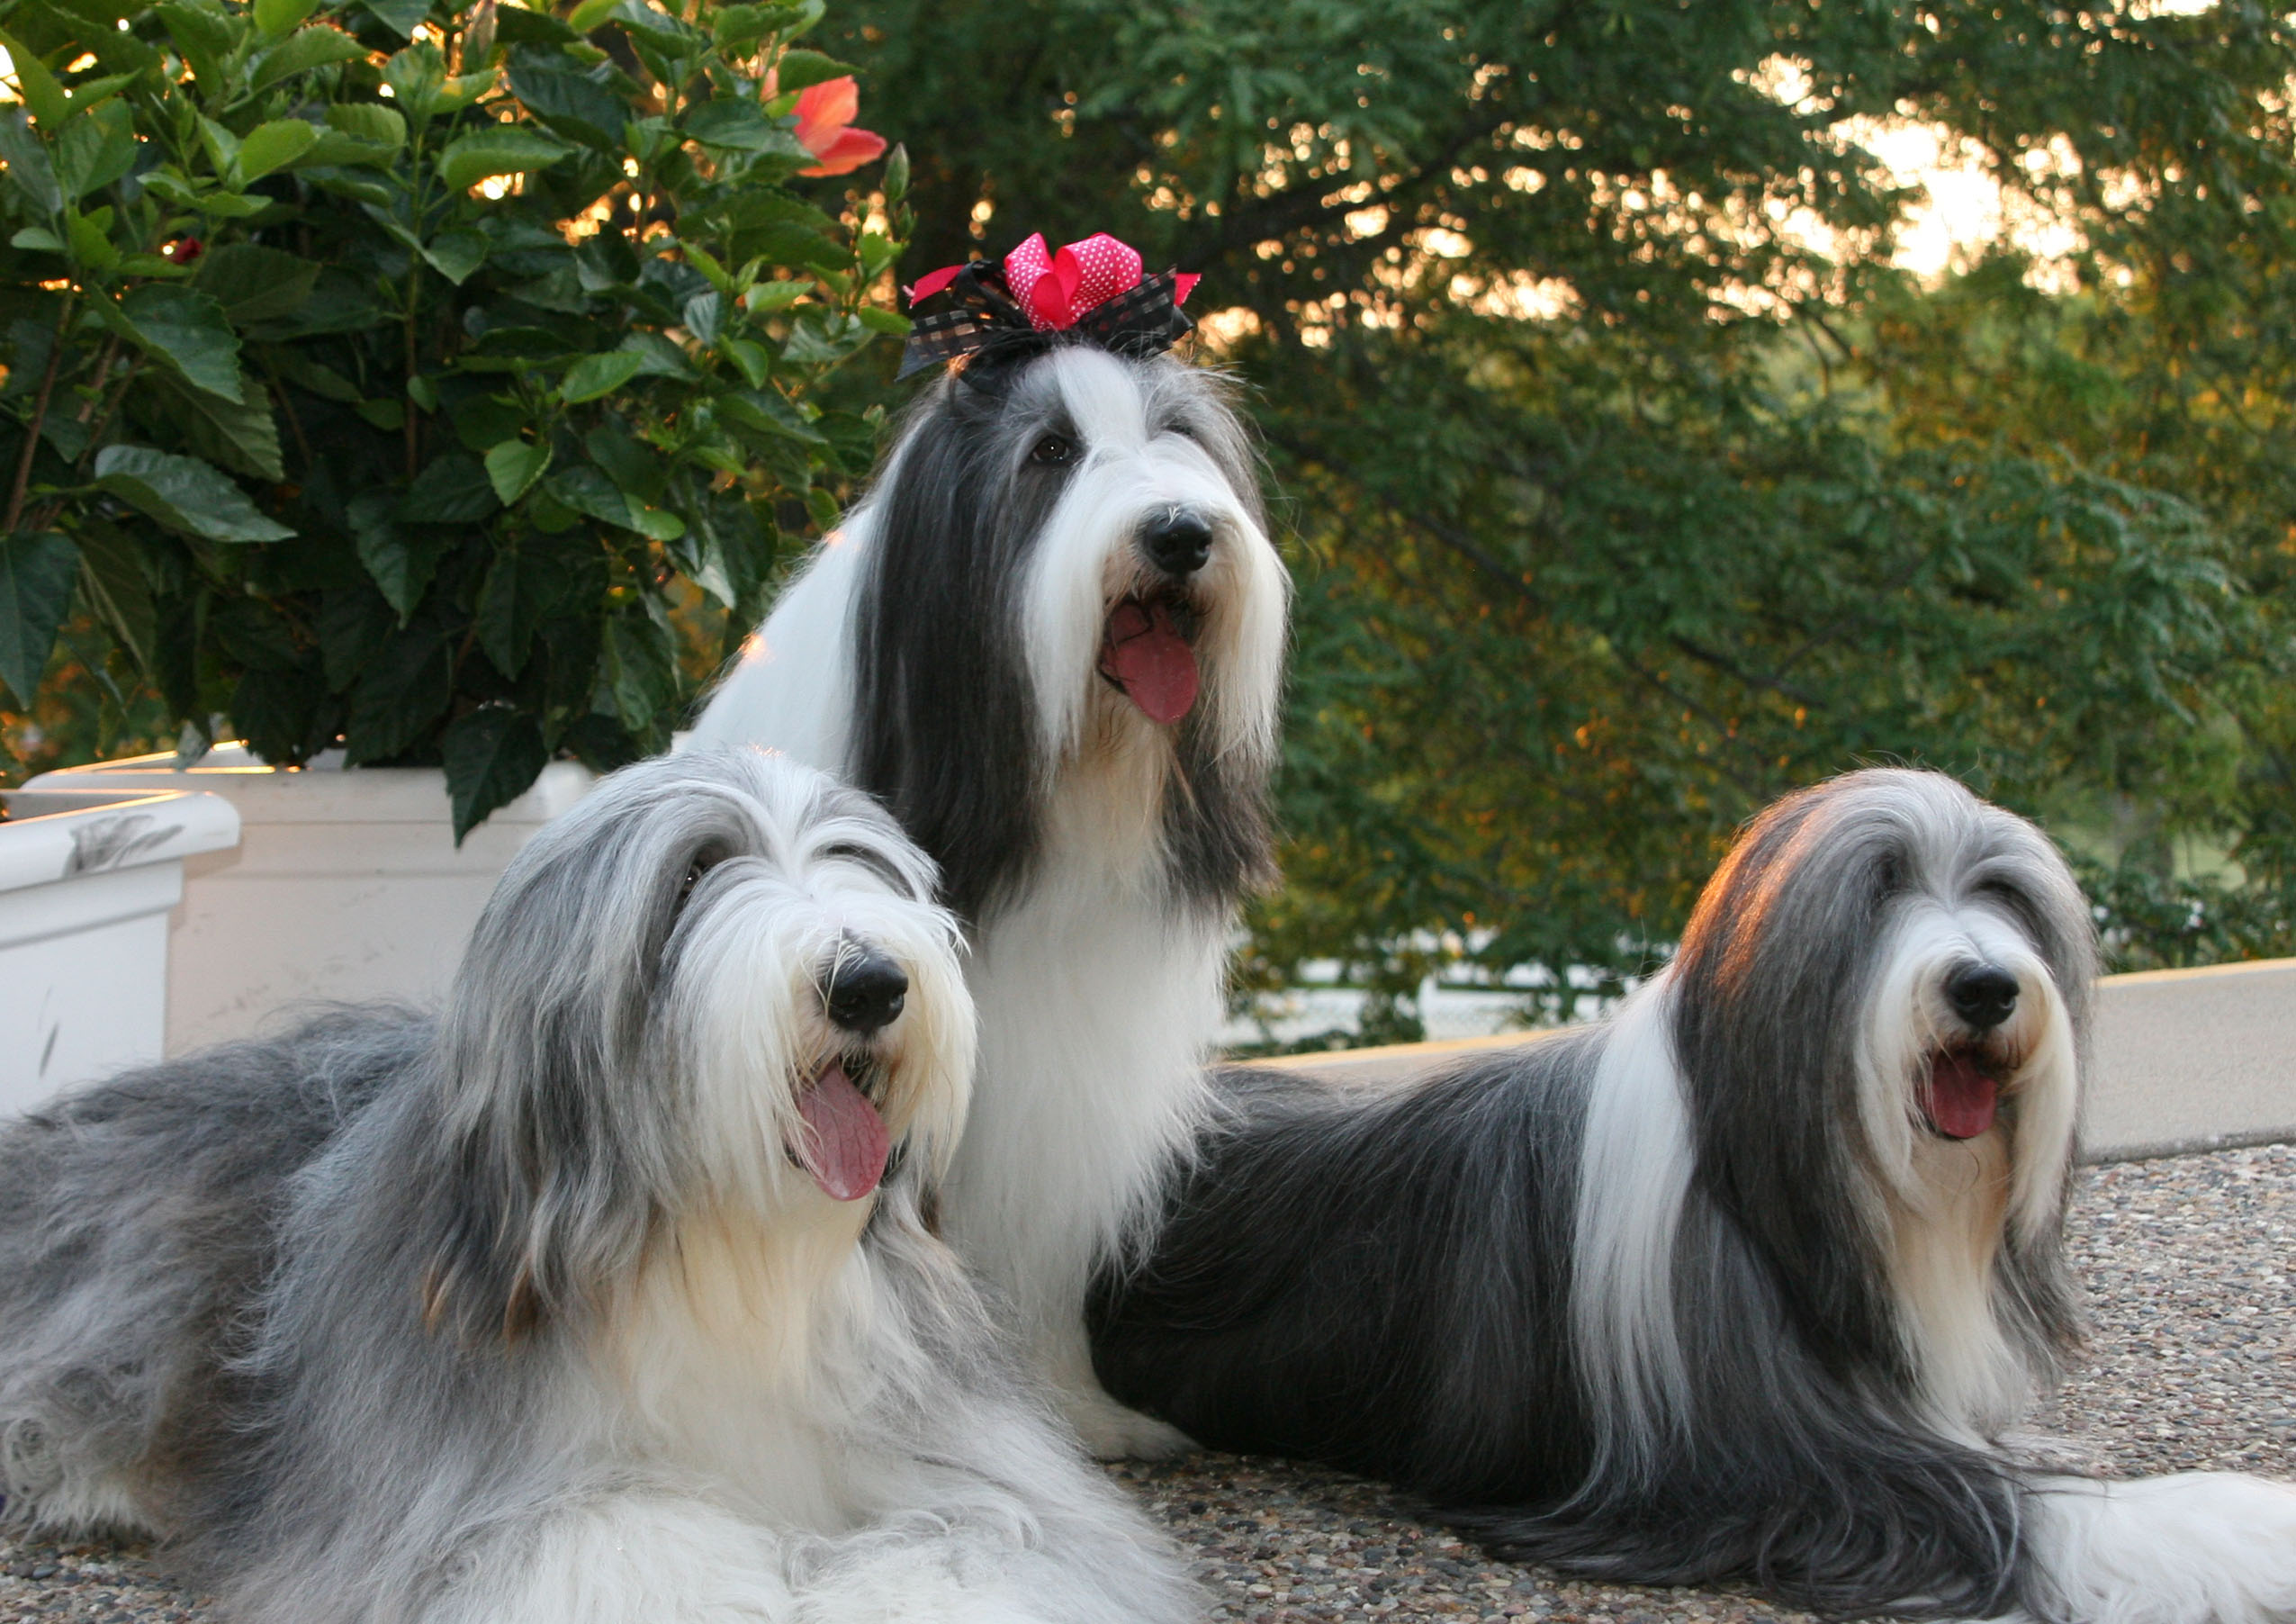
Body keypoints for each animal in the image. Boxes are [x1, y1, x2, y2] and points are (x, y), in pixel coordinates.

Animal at [4, 748, 1202, 1624]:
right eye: (695, 874)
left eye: (860, 863)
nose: (869, 981)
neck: (735, 1251)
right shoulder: (445, 1507)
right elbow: (626, 1535)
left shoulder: (978, 1470)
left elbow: (986, 1544)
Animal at [1088, 771, 2296, 1624]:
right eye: (1879, 887)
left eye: (2004, 894)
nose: (1986, 986)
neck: (1773, 1170)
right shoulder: (1792, 1466)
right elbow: (2031, 1516)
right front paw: (2255, 1527)